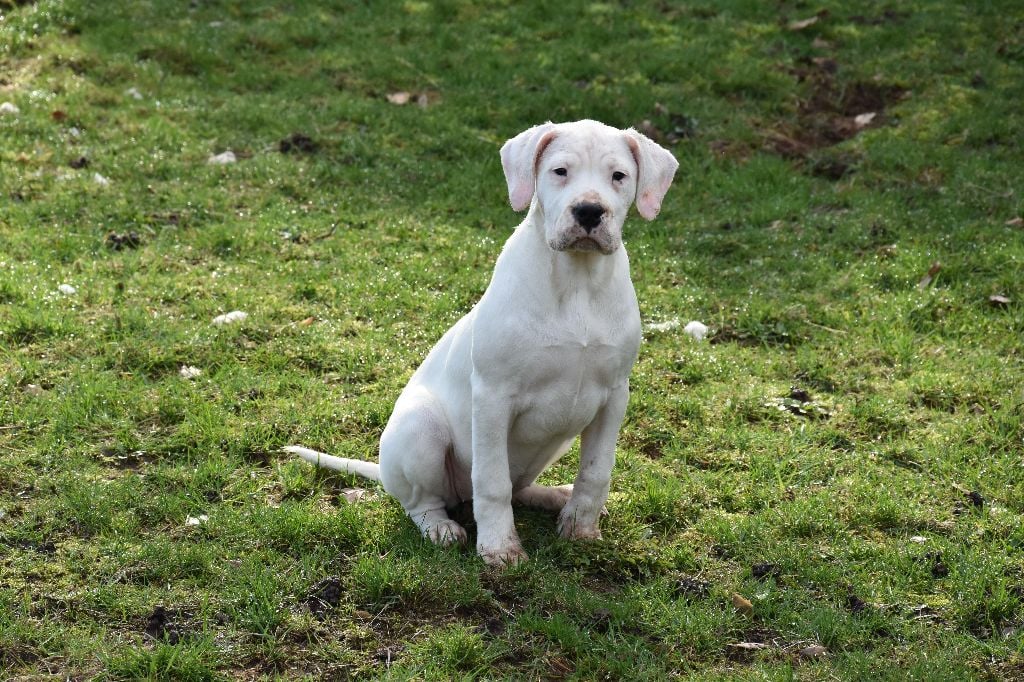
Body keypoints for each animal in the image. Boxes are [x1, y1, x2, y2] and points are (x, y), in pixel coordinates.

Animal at [284, 118, 675, 561]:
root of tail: (383, 471)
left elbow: (595, 472)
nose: (589, 211)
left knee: (520, 486)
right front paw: (500, 549)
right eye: (560, 171)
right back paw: (441, 528)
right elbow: (491, 482)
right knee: (426, 502)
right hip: (421, 429)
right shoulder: (492, 396)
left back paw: (555, 494)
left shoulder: (614, 396)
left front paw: (580, 528)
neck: (577, 280)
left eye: (618, 176)